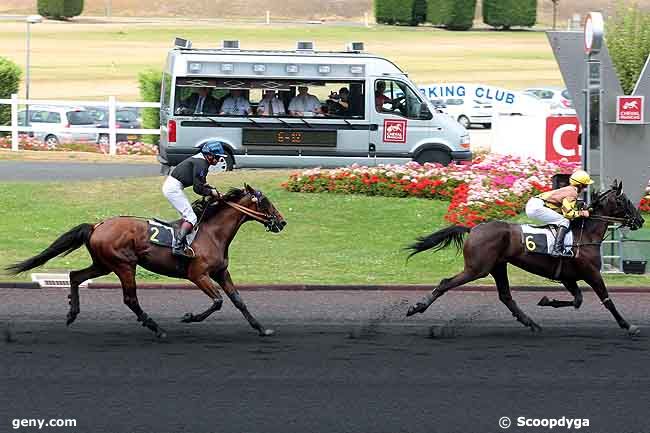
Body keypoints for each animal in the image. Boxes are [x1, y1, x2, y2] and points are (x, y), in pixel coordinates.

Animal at [5, 182, 284, 338]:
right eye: (265, 202)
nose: (281, 222)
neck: (212, 233)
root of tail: (97, 225)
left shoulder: (220, 272)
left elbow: (238, 301)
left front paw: (262, 328)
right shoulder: (198, 274)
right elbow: (217, 302)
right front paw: (188, 317)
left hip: (103, 265)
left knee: (75, 276)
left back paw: (72, 313)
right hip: (124, 265)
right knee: (130, 299)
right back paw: (156, 328)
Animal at [404, 181, 644, 336]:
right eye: (625, 200)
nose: (640, 220)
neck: (584, 235)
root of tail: (473, 228)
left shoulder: (568, 277)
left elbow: (577, 301)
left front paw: (547, 300)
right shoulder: (591, 273)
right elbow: (607, 300)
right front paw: (628, 325)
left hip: (498, 267)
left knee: (506, 296)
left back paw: (531, 323)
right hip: (477, 269)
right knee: (446, 283)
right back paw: (417, 307)